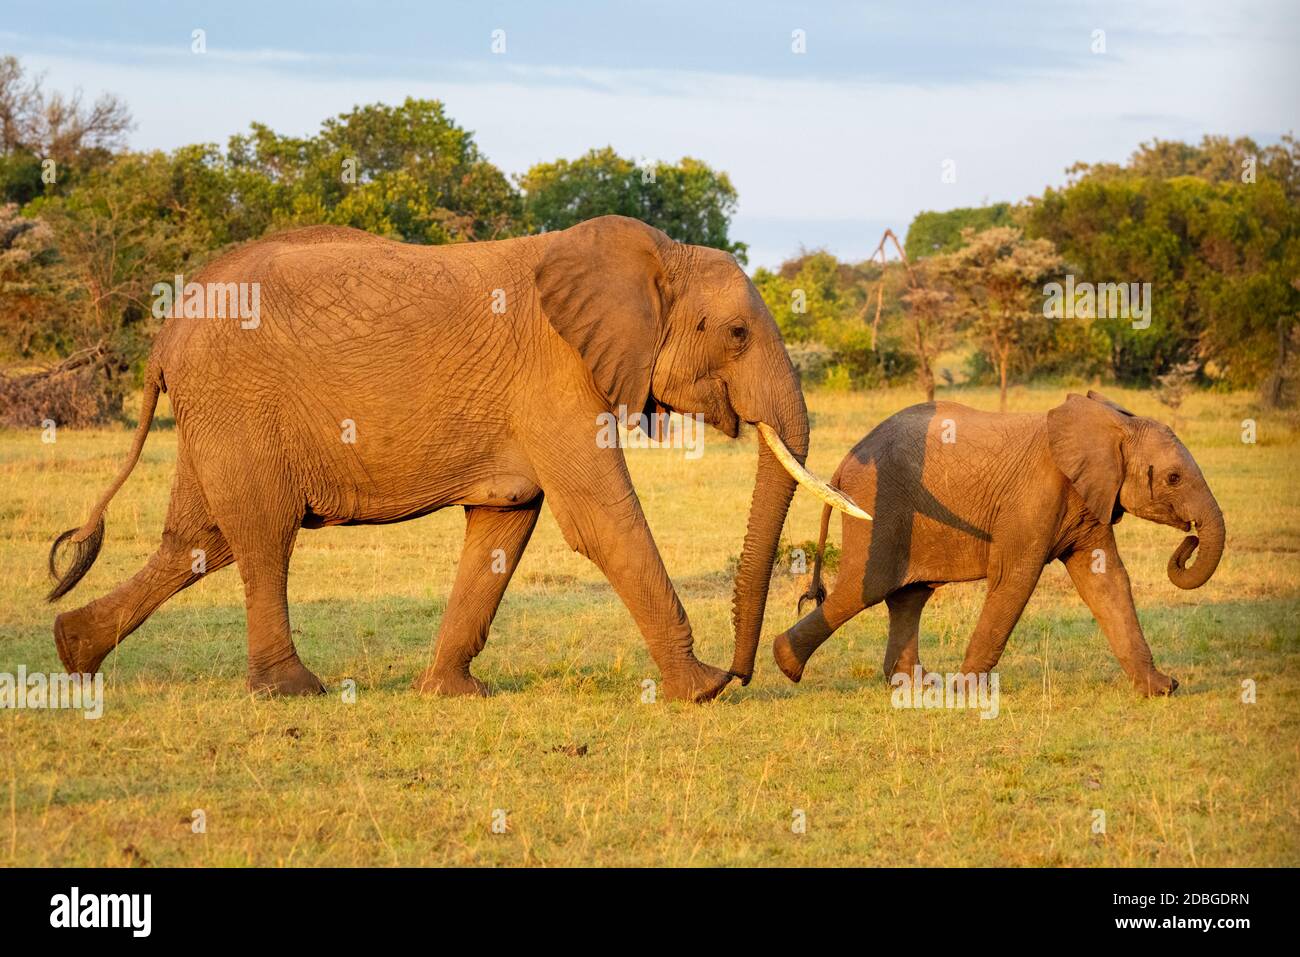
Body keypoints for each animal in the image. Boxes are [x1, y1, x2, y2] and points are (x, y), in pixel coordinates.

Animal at [46, 215, 864, 701]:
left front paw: (450, 693)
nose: (749, 669)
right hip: (237, 404)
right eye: (736, 334)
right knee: (261, 534)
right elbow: (603, 521)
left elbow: (505, 524)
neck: (653, 254)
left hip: (214, 414)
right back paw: (295, 690)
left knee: (198, 541)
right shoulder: (556, 376)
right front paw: (700, 690)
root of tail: (167, 327)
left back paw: (73, 651)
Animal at [772, 391, 1225, 695]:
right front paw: (966, 693)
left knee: (909, 596)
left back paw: (918, 686)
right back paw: (786, 663)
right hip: (877, 506)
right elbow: (1015, 579)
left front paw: (1162, 689)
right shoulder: (1034, 497)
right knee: (865, 589)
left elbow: (1107, 580)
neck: (1112, 423)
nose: (1190, 537)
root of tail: (843, 464)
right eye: (1173, 478)